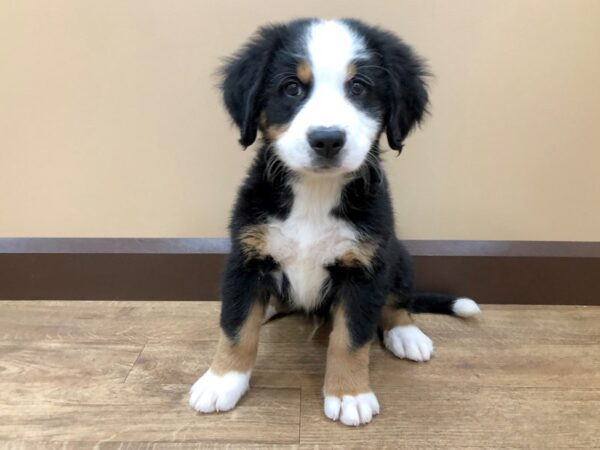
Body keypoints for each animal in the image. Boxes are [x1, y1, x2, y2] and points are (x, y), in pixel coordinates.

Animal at [190, 17, 480, 426]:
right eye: (292, 88)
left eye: (358, 88)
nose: (327, 140)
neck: (315, 193)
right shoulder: (246, 260)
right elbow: (236, 327)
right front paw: (222, 381)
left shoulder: (364, 268)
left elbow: (351, 339)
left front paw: (349, 394)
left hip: (397, 256)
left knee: (397, 302)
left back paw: (406, 334)